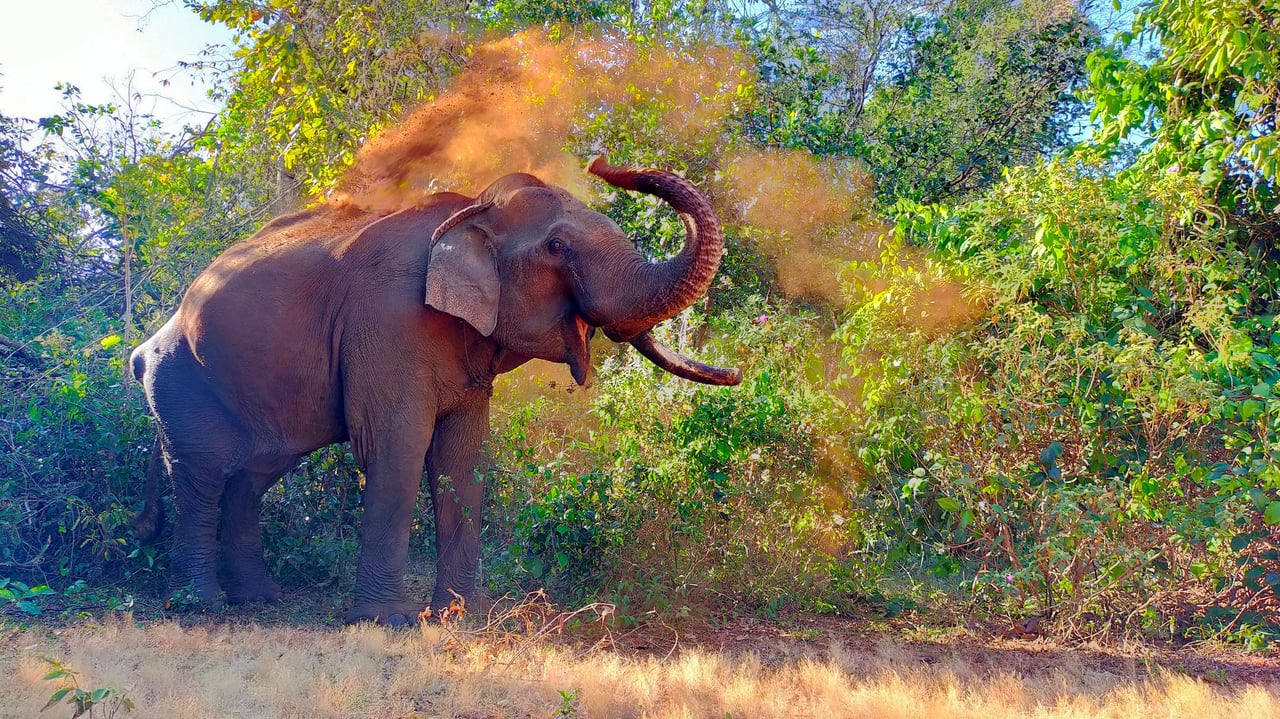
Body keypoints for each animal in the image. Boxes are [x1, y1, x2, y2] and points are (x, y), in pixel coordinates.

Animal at [129, 155, 742, 621]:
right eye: (557, 249)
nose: (601, 163)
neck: (470, 211)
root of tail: (145, 345)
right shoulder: (386, 322)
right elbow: (396, 447)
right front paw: (388, 623)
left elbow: (463, 458)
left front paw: (462, 616)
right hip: (181, 385)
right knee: (202, 476)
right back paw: (202, 608)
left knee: (251, 478)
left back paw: (259, 602)